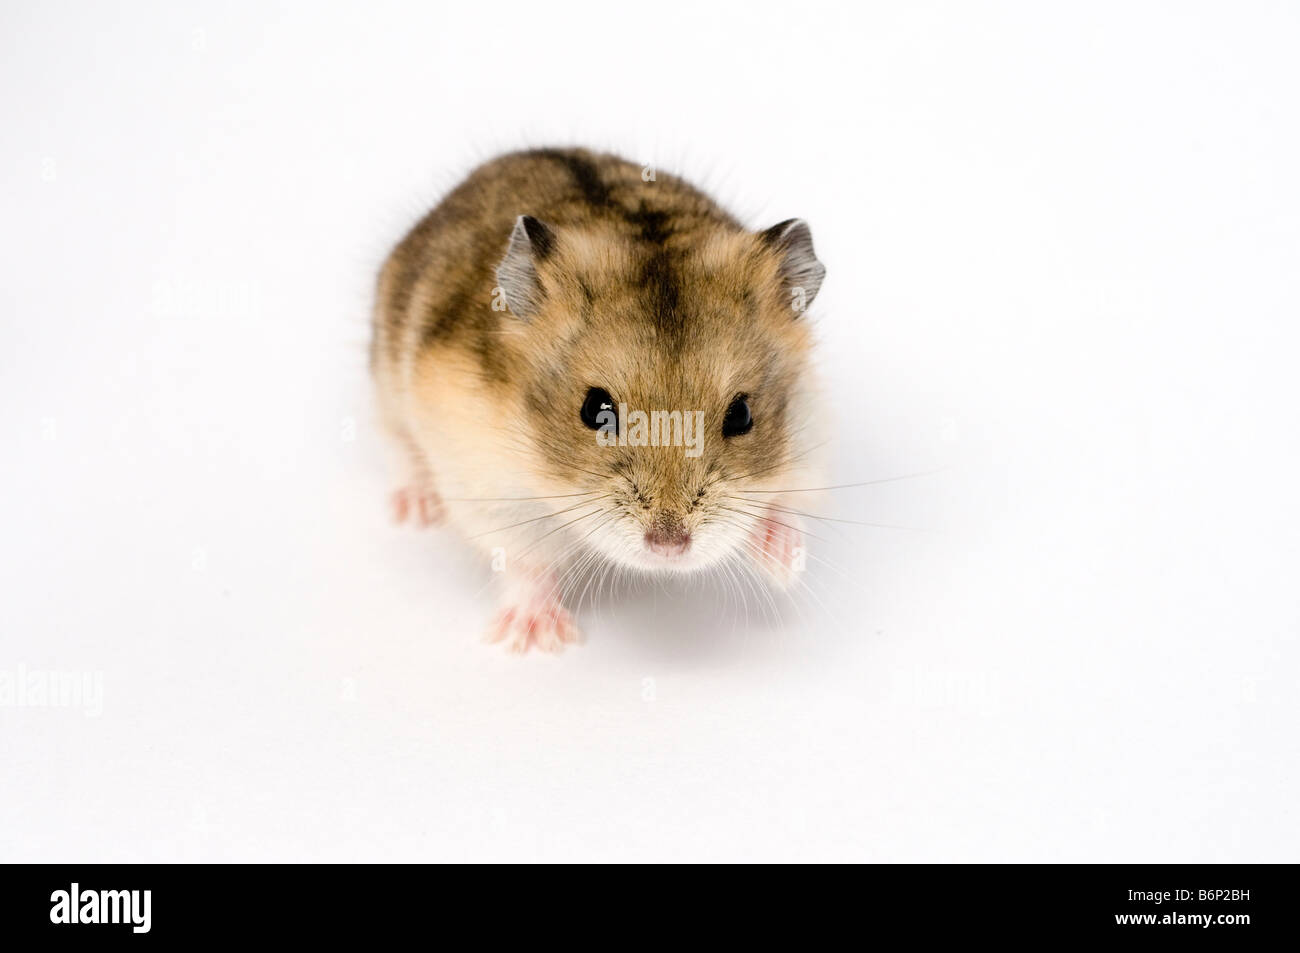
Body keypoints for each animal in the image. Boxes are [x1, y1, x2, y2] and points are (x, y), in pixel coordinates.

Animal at [371, 148, 827, 652]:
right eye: (596, 411)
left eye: (742, 415)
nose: (669, 547)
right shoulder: (489, 487)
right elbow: (528, 564)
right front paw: (537, 641)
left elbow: (784, 500)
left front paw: (785, 564)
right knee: (397, 443)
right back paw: (416, 510)